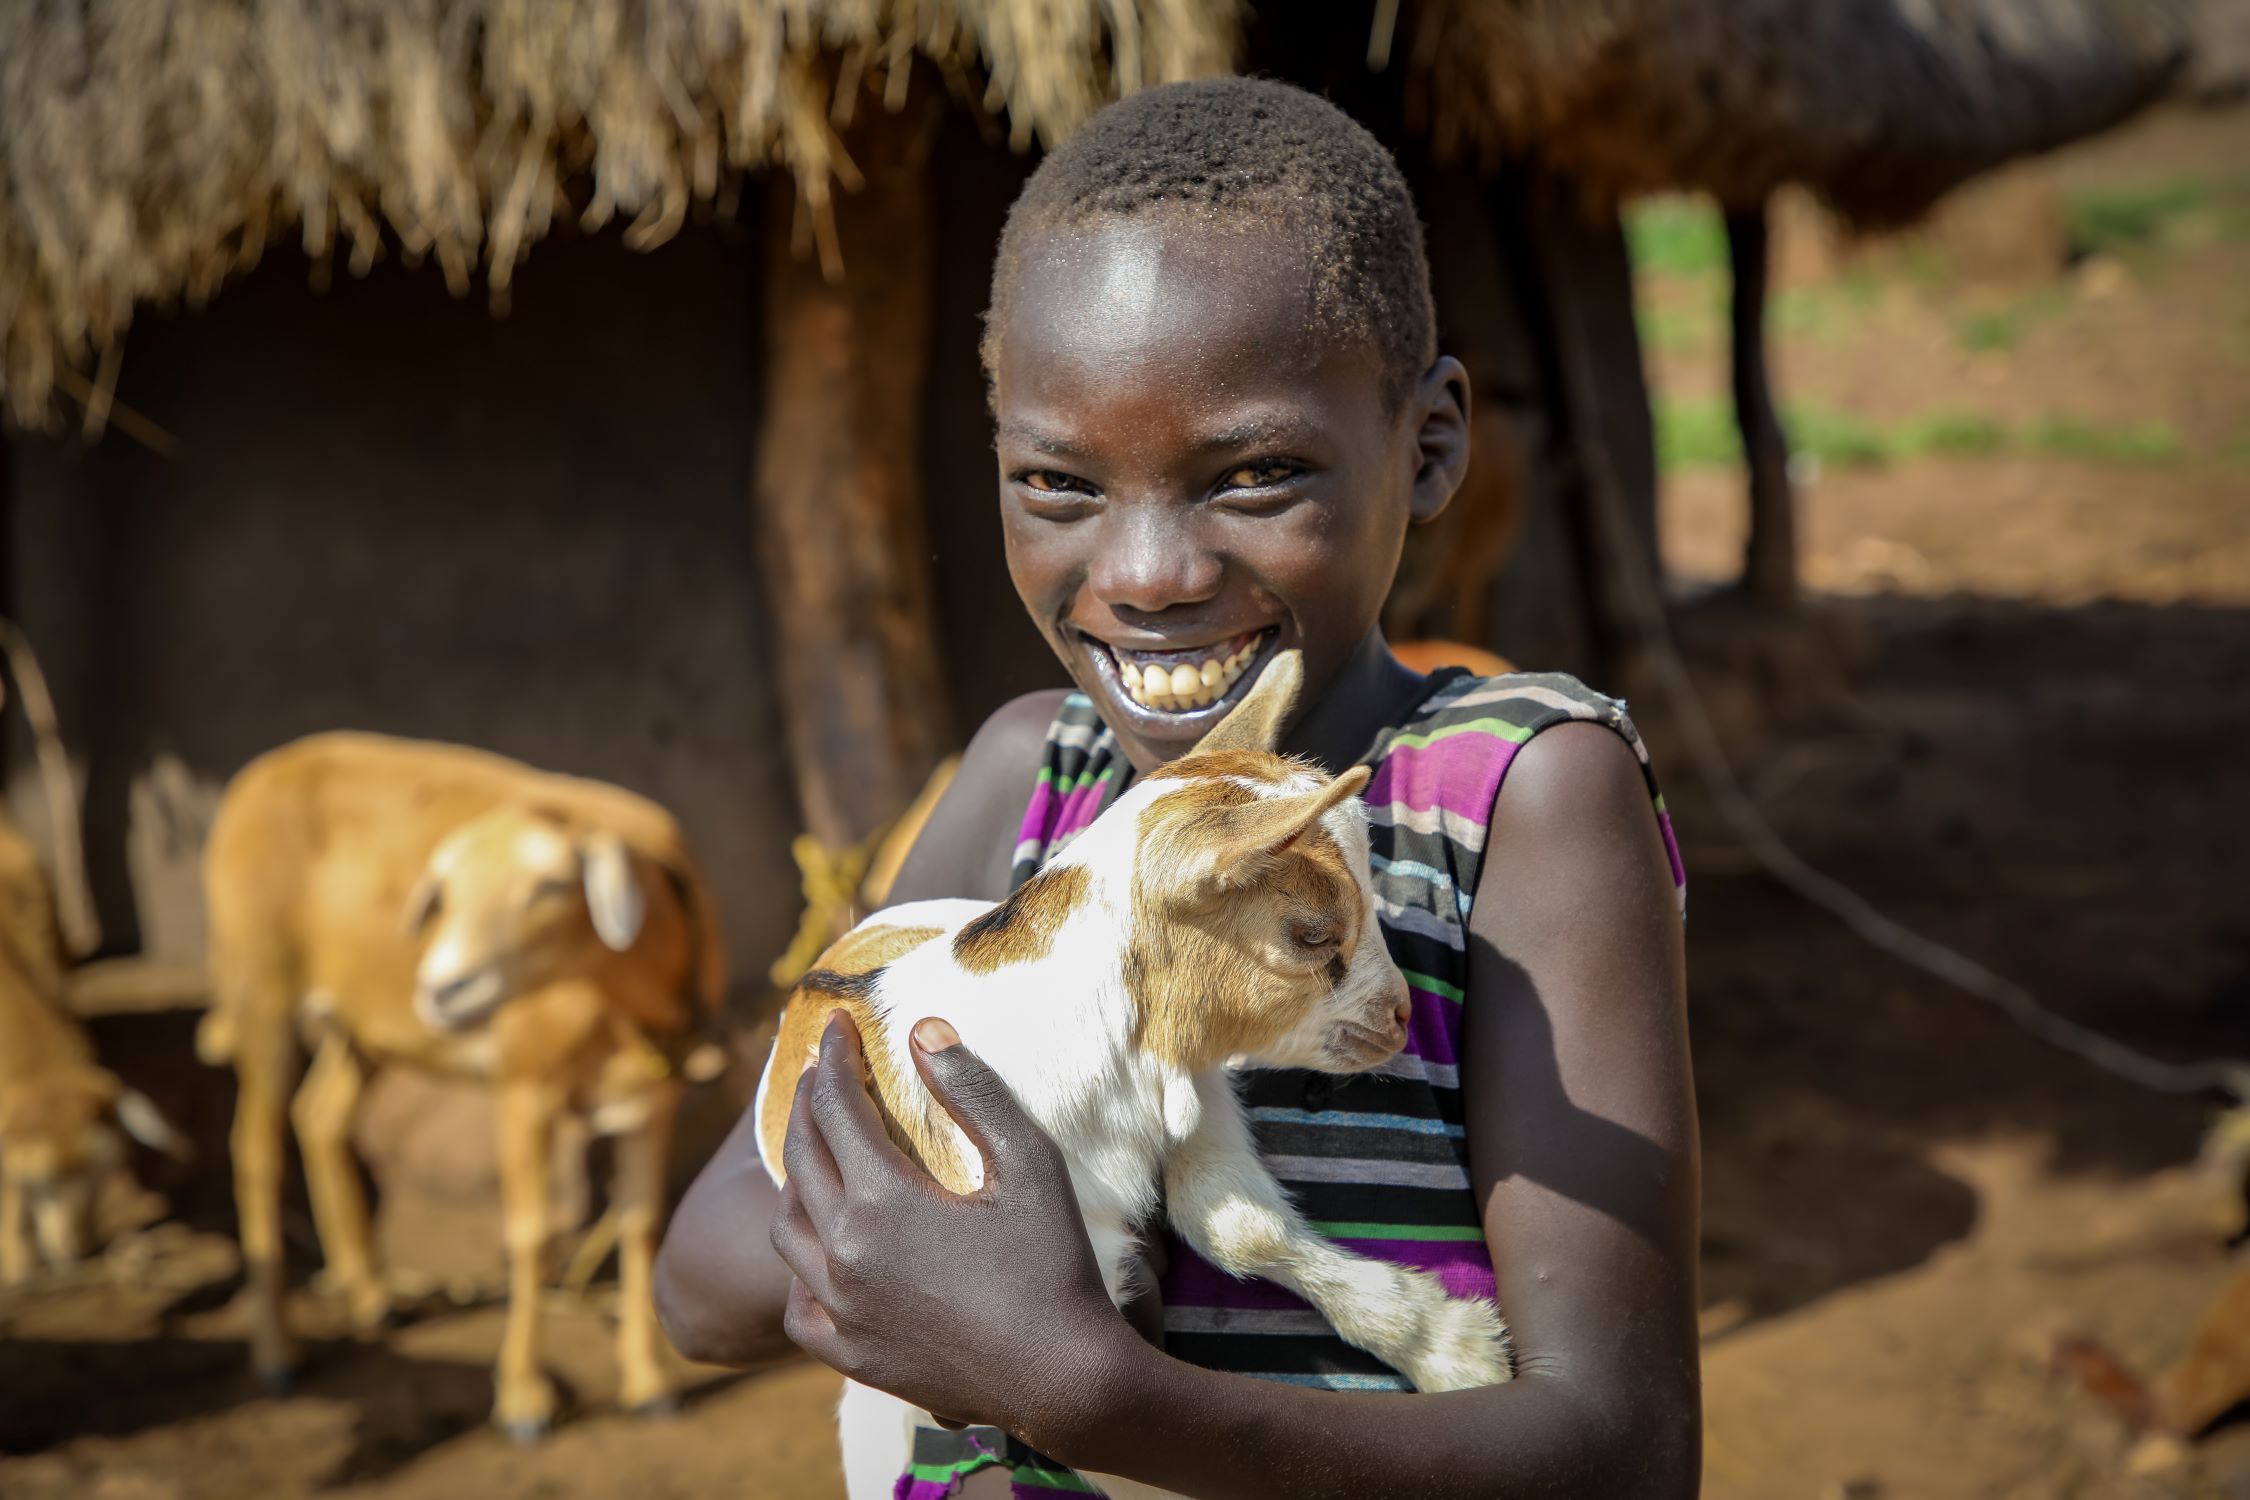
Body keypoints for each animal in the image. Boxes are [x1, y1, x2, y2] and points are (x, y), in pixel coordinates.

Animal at [200, 732, 726, 1440]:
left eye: (551, 885)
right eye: (445, 893)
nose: (443, 988)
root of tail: (267, 770)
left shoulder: (652, 1101)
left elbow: (642, 1223)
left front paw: (649, 1385)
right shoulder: (525, 1089)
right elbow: (532, 1235)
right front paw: (525, 1400)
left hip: (365, 1025)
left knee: (320, 1115)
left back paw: (369, 1295)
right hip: (261, 991)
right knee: (255, 1150)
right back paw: (278, 1355)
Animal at [757, 654, 1510, 1500]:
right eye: (1313, 935)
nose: (1402, 1014)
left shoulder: (1193, 1084)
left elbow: (1234, 1223)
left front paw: (1450, 1347)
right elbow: (1094, 1419)